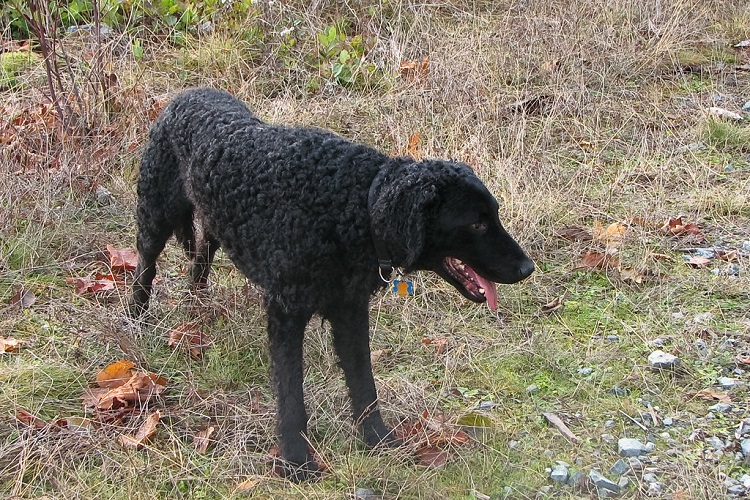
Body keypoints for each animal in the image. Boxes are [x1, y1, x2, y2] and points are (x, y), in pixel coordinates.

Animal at [131, 90, 536, 480]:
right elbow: (292, 397)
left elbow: (364, 383)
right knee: (144, 269)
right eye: (476, 224)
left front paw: (377, 440)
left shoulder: (349, 311)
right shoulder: (286, 314)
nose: (527, 268)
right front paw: (297, 462)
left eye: (494, 215)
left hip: (213, 217)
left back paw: (197, 299)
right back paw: (136, 320)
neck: (353, 204)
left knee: (202, 253)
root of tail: (183, 95)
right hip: (155, 213)